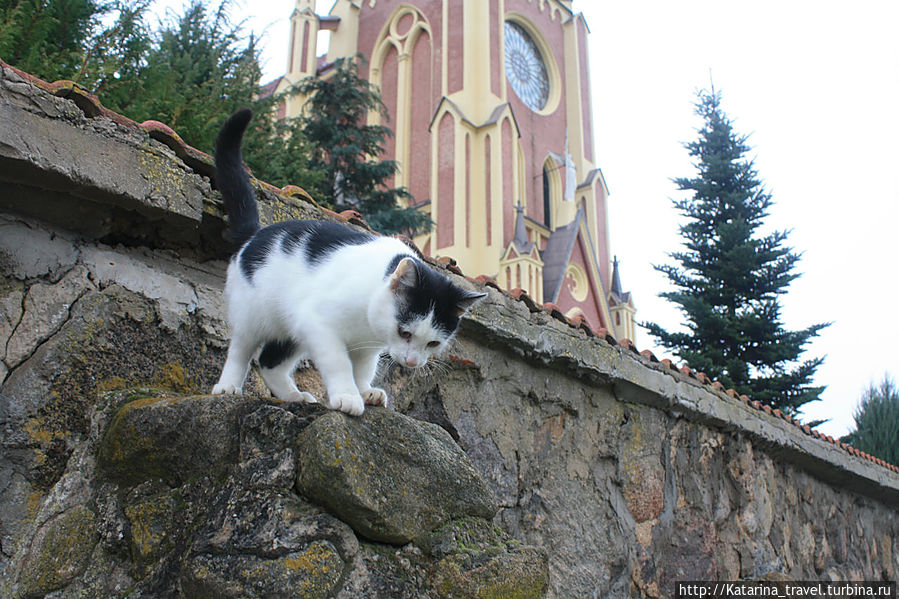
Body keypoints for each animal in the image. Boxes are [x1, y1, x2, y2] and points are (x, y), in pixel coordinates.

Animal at [210, 109, 486, 418]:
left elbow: (364, 368)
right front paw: (348, 396)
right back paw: (228, 386)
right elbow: (339, 363)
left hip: (292, 326)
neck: (368, 320)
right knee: (241, 350)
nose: (413, 362)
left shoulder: (365, 345)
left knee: (271, 361)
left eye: (434, 342)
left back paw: (293, 395)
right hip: (253, 313)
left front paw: (365, 390)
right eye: (404, 333)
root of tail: (255, 234)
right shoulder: (318, 323)